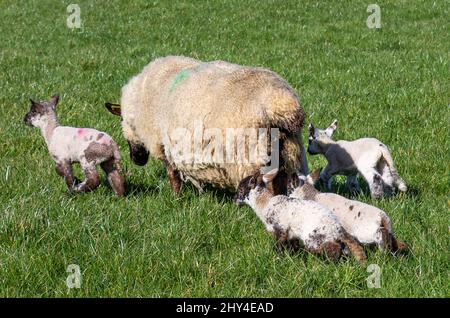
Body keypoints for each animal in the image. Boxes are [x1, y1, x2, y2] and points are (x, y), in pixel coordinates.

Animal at [105, 56, 310, 196]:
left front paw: (176, 198)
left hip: (249, 154)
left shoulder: (163, 144)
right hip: (291, 153)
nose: (136, 159)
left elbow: (173, 175)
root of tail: (280, 103)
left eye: (121, 121)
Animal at [234, 169, 368, 264]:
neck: (264, 204)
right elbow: (291, 246)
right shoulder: (290, 233)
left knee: (334, 249)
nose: (234, 200)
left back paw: (327, 262)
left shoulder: (280, 228)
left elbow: (278, 246)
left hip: (314, 238)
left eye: (240, 189)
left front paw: (277, 258)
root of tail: (338, 228)